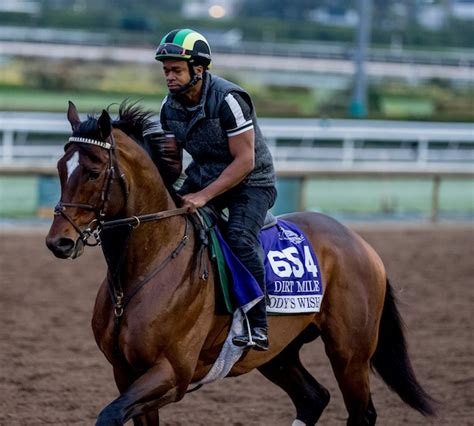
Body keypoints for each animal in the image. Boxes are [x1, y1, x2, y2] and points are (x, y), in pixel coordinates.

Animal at [46, 101, 436, 424]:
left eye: (94, 170)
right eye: (62, 167)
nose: (58, 241)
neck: (139, 275)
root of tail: (361, 245)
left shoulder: (172, 373)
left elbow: (109, 415)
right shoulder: (125, 372)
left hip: (350, 353)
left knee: (361, 413)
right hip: (281, 353)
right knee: (313, 398)